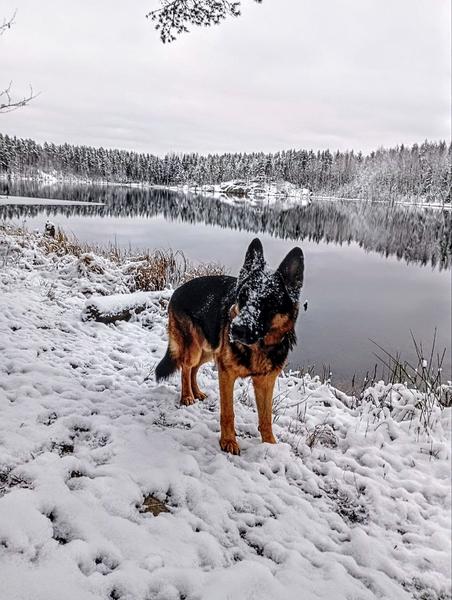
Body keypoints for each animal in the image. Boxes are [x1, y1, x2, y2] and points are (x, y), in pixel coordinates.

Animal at [156, 238, 304, 455]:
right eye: (242, 297)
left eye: (269, 302)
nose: (237, 329)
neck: (258, 348)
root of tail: (178, 289)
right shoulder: (226, 374)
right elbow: (228, 412)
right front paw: (228, 441)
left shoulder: (265, 382)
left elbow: (266, 417)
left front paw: (270, 445)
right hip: (195, 349)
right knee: (186, 367)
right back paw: (187, 396)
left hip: (210, 350)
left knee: (194, 369)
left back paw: (196, 392)